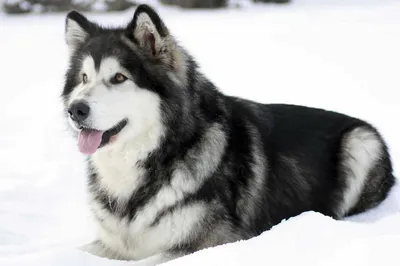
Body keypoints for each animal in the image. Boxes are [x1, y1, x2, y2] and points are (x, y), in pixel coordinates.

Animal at [61, 4, 396, 266]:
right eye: (84, 78)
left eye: (119, 78)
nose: (75, 110)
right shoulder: (114, 243)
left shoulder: (213, 241)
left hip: (360, 143)